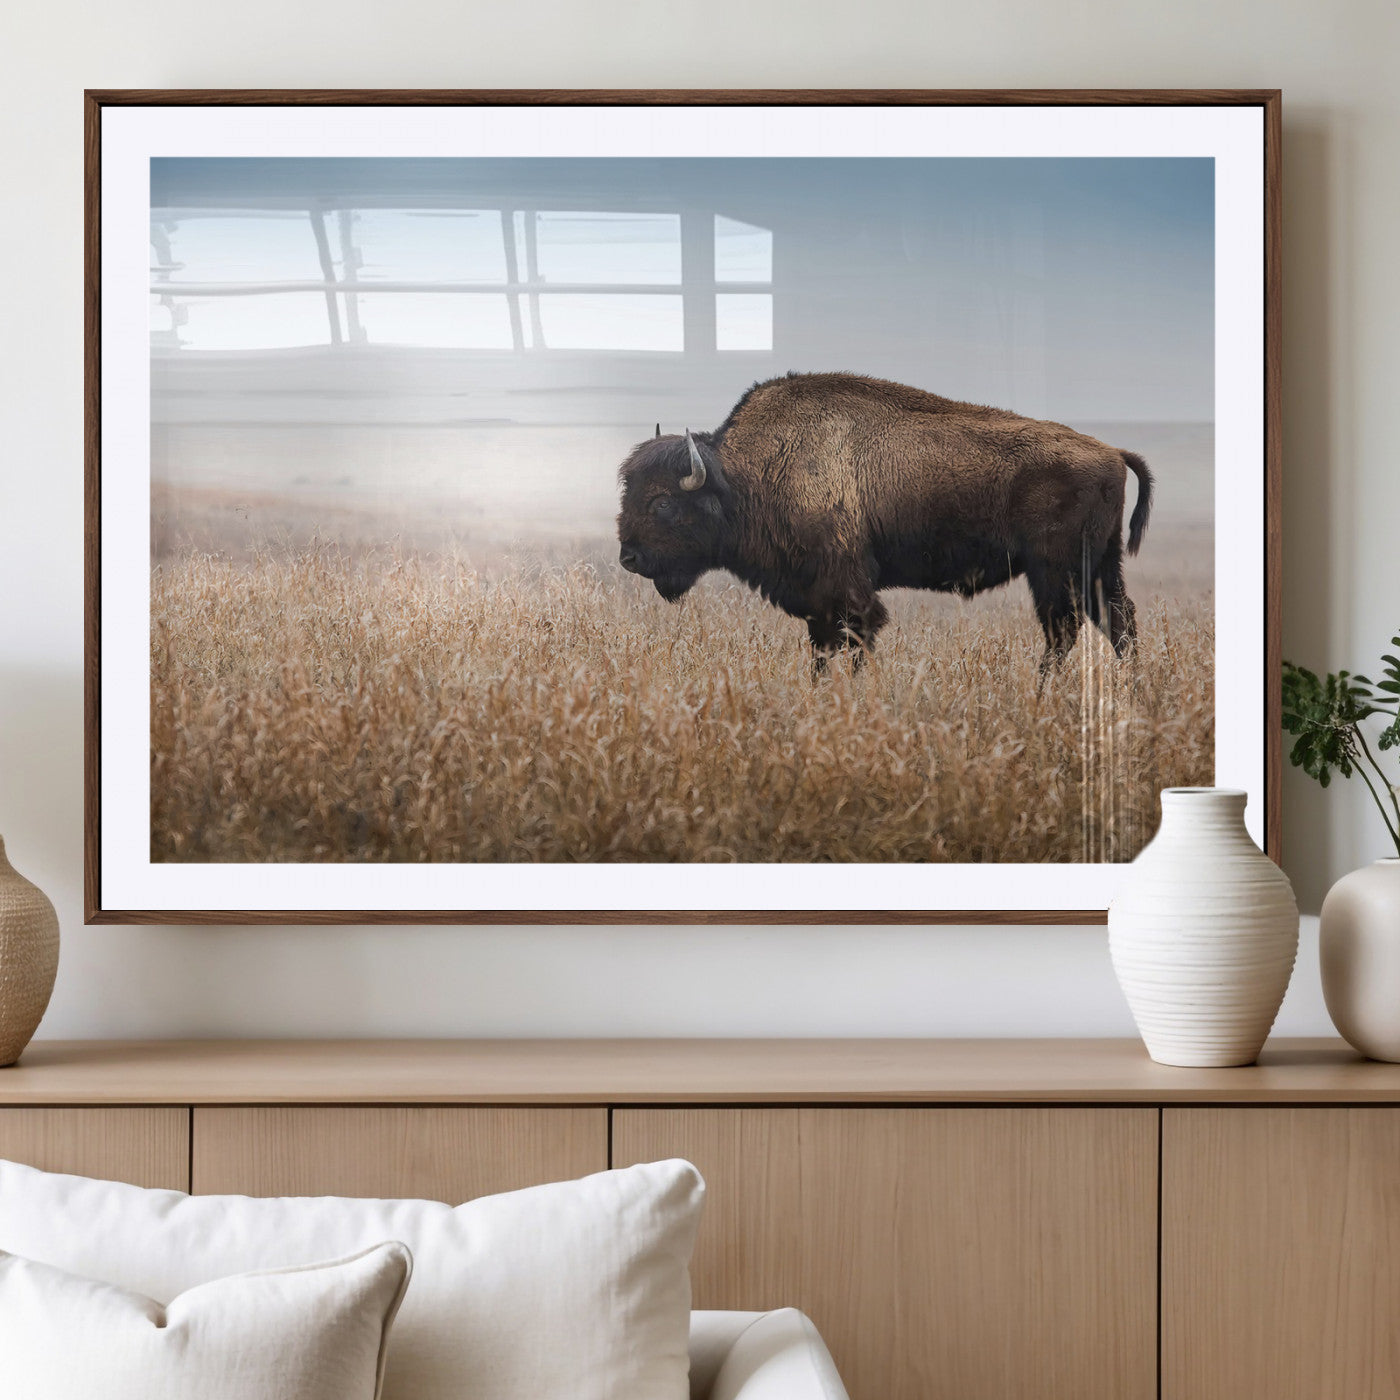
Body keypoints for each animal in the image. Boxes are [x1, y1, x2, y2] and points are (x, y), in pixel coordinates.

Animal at [616, 372, 1153, 671]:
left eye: (662, 502)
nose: (628, 557)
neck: (745, 475)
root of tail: (1111, 451)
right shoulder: (818, 601)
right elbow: (822, 650)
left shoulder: (847, 591)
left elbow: (855, 641)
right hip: (1100, 566)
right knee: (1117, 622)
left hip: (1055, 570)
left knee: (1065, 630)